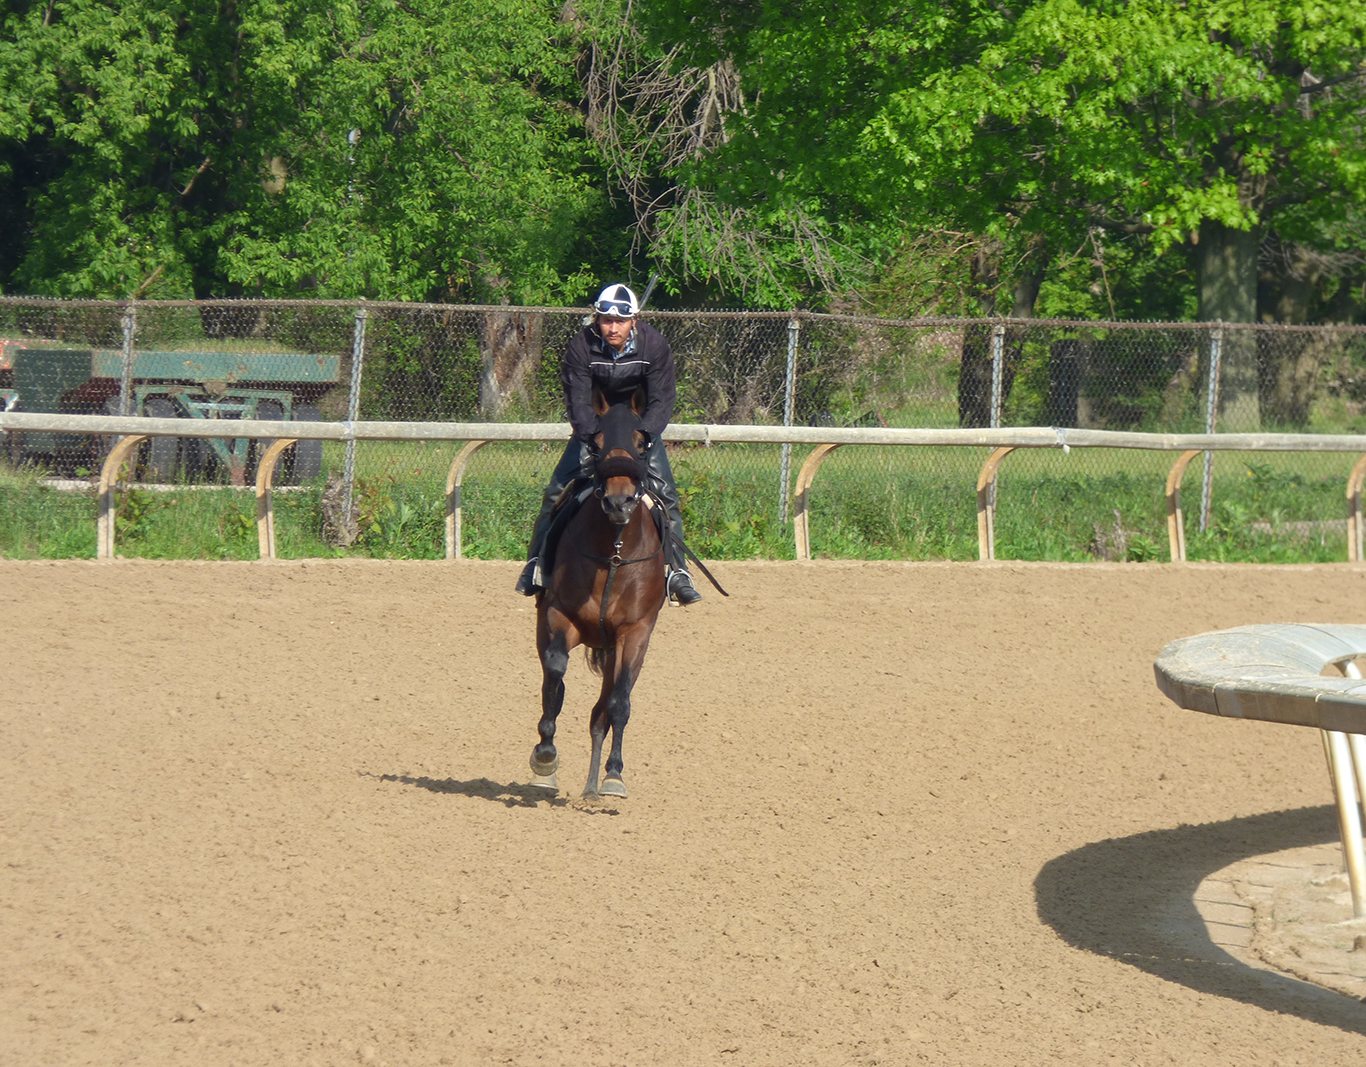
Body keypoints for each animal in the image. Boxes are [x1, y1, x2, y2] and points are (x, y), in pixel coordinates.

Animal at [527, 388, 666, 792]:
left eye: (641, 442)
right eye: (596, 443)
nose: (618, 501)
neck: (613, 553)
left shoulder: (635, 633)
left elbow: (619, 702)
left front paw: (614, 775)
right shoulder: (559, 616)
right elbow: (555, 676)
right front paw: (545, 756)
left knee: (602, 711)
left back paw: (595, 783)